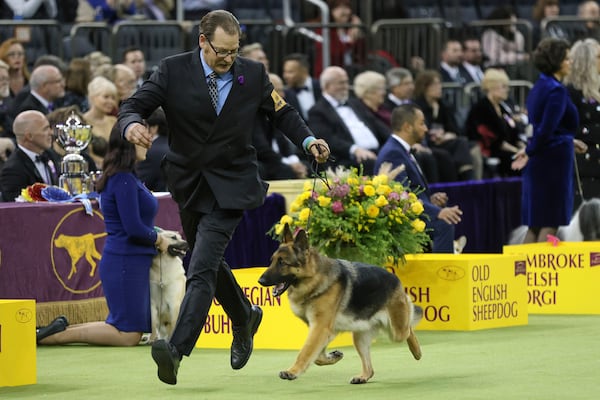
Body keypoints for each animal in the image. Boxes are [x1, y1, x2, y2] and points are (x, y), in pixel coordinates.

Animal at [258, 225, 422, 384]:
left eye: (282, 262)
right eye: (272, 260)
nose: (260, 281)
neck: (314, 278)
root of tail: (395, 278)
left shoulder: (320, 327)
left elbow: (305, 351)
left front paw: (292, 371)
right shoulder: (322, 329)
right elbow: (316, 356)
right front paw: (333, 357)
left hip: (397, 330)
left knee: (409, 327)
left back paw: (417, 350)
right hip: (361, 337)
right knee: (370, 367)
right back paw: (363, 377)